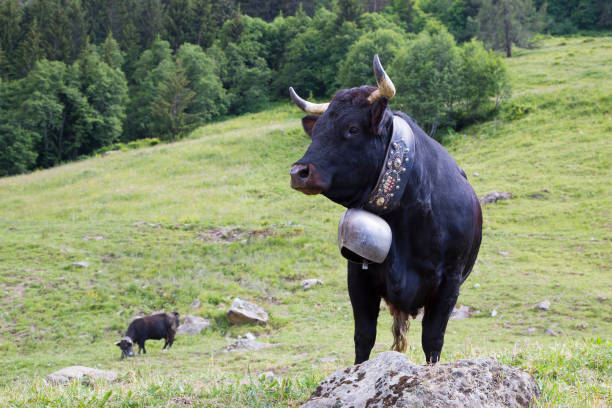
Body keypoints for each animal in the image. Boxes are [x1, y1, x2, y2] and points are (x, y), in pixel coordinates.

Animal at [288, 55, 482, 364]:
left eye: (352, 128)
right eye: (316, 132)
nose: (299, 172)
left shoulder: (450, 281)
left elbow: (433, 339)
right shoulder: (357, 275)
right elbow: (364, 336)